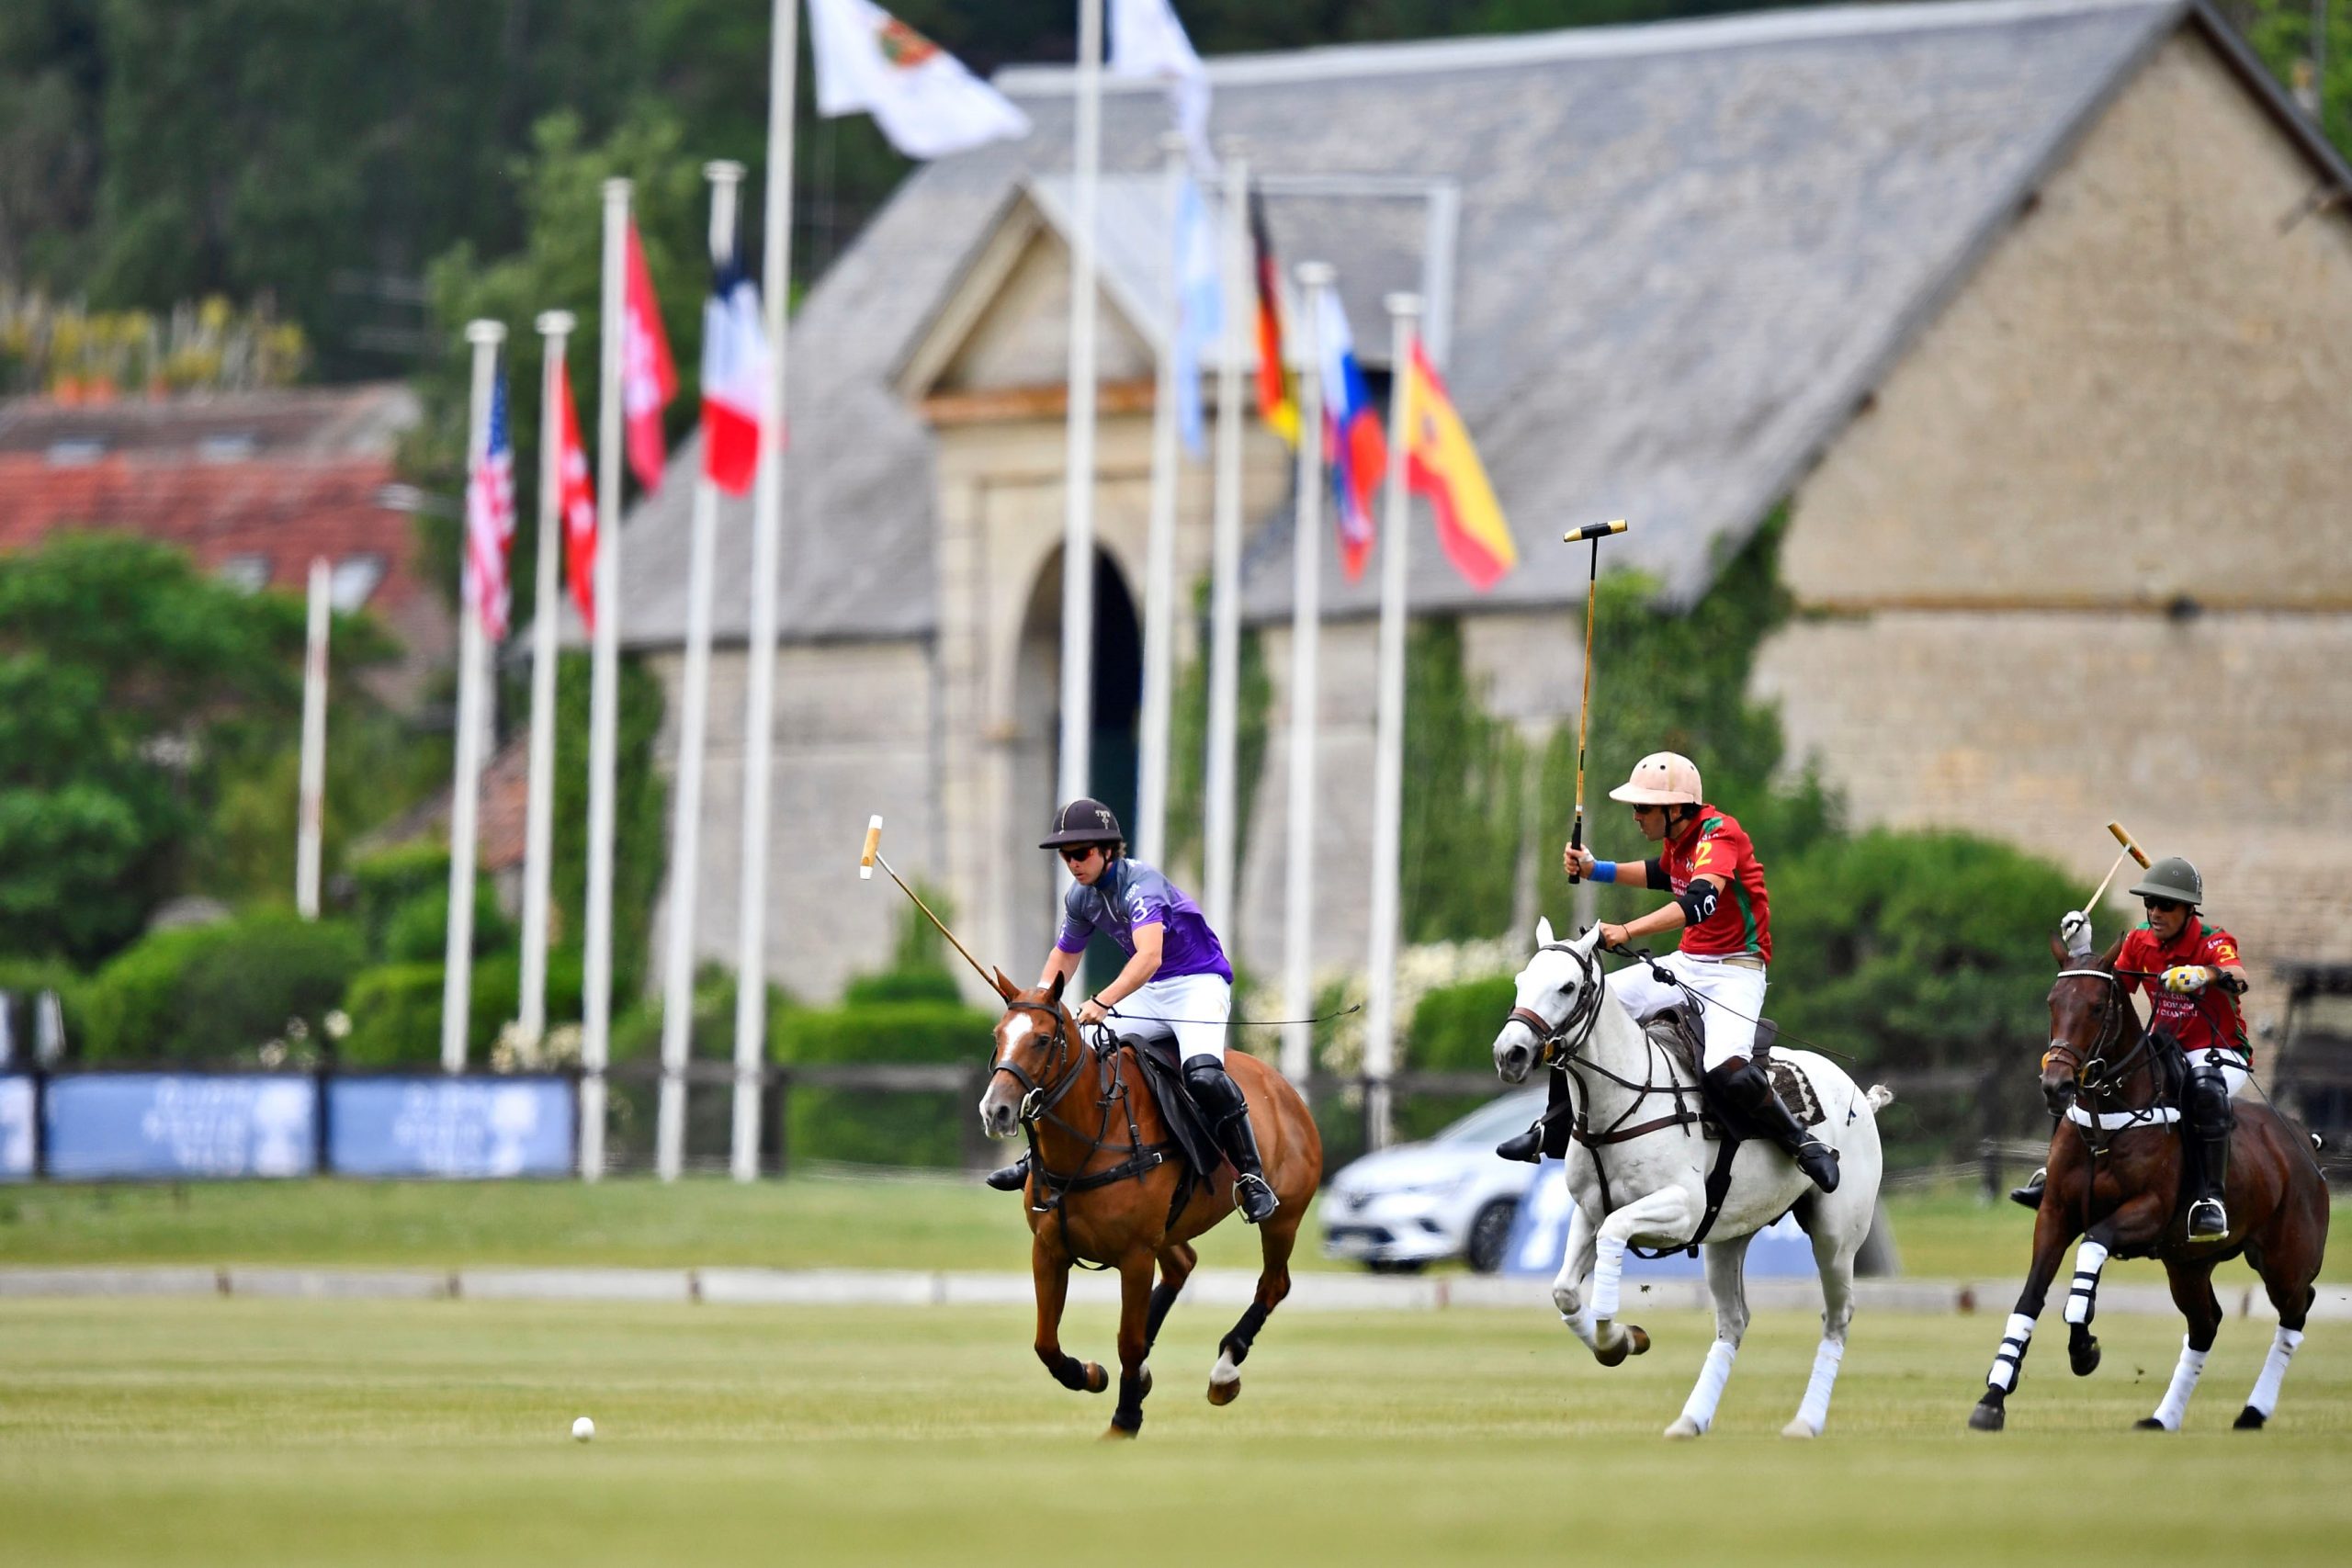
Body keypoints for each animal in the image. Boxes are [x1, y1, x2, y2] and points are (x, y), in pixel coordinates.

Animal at [973, 973, 1326, 1438]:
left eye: (1043, 1039)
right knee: (1183, 1265)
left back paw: (1224, 1371)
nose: (995, 1111)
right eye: (998, 1036)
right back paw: (1145, 1375)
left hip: (1284, 1218)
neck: (1092, 1135)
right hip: (1170, 1228)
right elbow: (1045, 1342)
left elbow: (1128, 1339)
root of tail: (1284, 1086)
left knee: (1273, 1284)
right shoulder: (1048, 1249)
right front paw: (1090, 1374)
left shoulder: (1135, 1254)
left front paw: (1124, 1420)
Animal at [1505, 921, 1891, 1448]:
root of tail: (1858, 1096)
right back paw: (1691, 1420)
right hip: (1727, 1237)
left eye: (1567, 987)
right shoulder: (1589, 1210)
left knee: (1837, 1317)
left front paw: (1616, 1335)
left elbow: (1616, 1234)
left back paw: (1805, 1422)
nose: (1510, 1053)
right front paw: (1621, 1342)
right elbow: (1564, 1290)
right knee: (1734, 1322)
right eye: (1522, 980)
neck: (1620, 1100)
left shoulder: (1682, 1208)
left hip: (1836, 1235)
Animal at [1966, 931, 2333, 1438]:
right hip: (2188, 1264)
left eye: (2097, 1006)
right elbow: (2030, 1298)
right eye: (2052, 1002)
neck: (2105, 1121)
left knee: (2296, 1310)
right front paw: (1993, 1397)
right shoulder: (2055, 1214)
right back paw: (2163, 1417)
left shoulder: (2148, 1212)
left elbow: (2092, 1248)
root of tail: (2304, 1141)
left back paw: (2252, 1412)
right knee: (2206, 1323)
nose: (2056, 1086)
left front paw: (2084, 1348)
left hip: (2286, 1257)